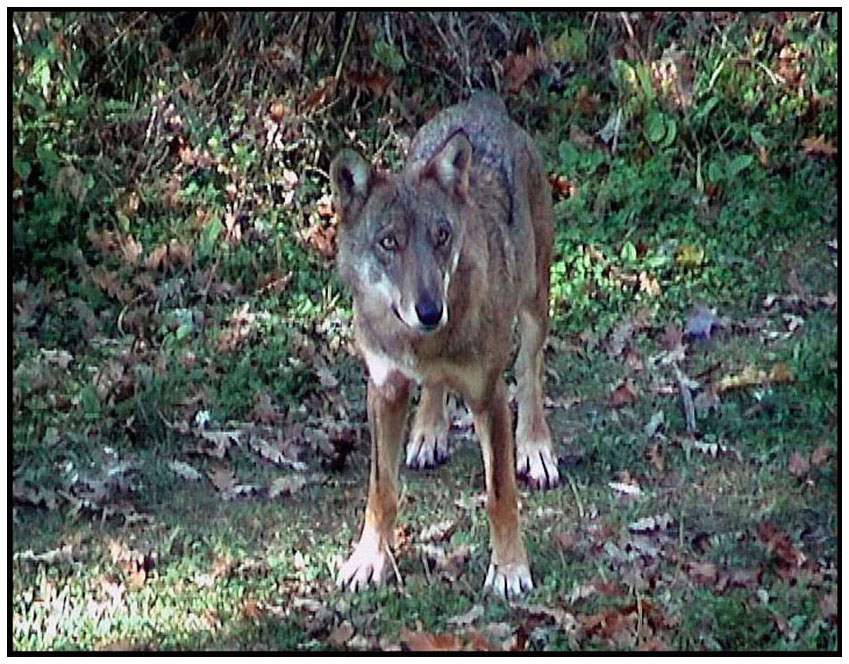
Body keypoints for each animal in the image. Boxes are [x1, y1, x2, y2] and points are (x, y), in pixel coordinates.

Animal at [330, 92, 556, 596]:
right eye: (388, 243)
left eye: (442, 236)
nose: (431, 311)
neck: (422, 344)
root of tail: (481, 104)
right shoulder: (385, 388)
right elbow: (381, 489)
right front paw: (368, 559)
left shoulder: (488, 395)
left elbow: (499, 494)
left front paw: (509, 569)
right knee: (435, 387)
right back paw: (428, 433)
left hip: (535, 303)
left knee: (530, 372)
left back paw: (536, 448)